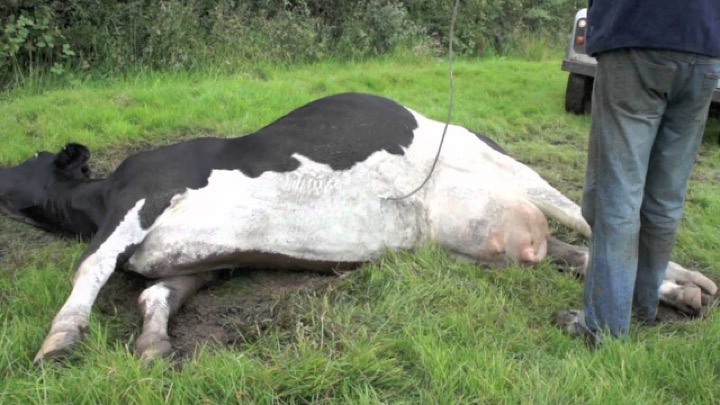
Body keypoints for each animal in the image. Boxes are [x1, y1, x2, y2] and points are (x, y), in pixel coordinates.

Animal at [0, 93, 716, 364]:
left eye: (30, 158)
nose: (2, 165)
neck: (95, 199)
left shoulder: (144, 194)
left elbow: (90, 266)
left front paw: (60, 339)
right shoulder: (200, 262)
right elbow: (153, 293)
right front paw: (152, 345)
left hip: (520, 173)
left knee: (593, 220)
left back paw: (690, 281)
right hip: (477, 236)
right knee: (574, 252)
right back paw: (679, 295)